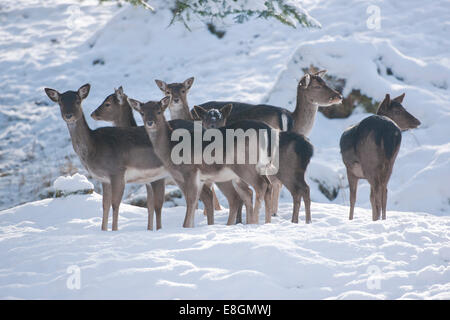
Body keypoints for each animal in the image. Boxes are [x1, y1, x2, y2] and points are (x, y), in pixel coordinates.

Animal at [44, 84, 174, 231]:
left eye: (78, 101)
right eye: (60, 102)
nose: (69, 115)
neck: (94, 147)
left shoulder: (117, 172)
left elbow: (116, 204)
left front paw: (115, 230)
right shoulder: (104, 179)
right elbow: (105, 205)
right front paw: (103, 230)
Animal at [127, 96, 274, 229]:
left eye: (159, 111)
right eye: (142, 112)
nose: (150, 122)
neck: (171, 146)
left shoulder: (189, 171)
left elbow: (191, 200)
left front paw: (186, 227)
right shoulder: (198, 178)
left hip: (243, 164)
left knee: (259, 186)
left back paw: (254, 222)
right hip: (254, 168)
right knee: (261, 187)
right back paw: (264, 222)